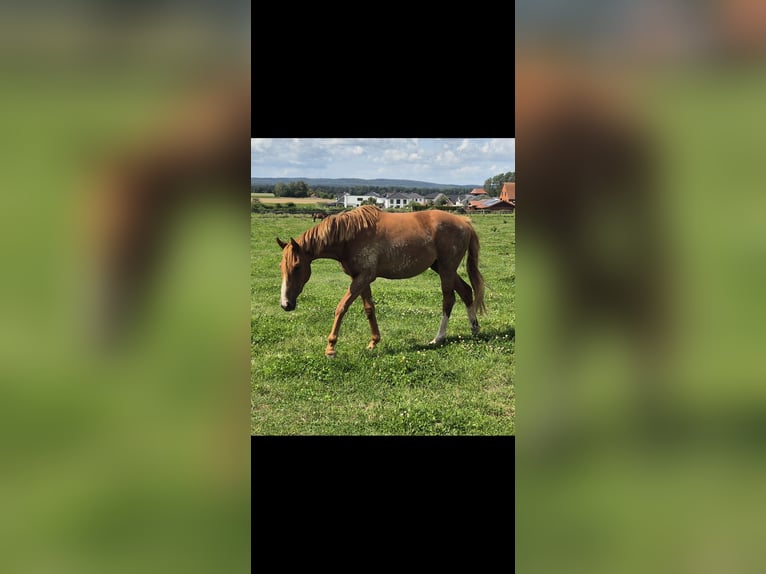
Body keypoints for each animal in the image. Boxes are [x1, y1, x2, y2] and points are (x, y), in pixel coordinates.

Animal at [280, 205, 488, 358]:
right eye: (281, 267)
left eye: (297, 266)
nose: (285, 304)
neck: (350, 236)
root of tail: (464, 222)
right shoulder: (360, 278)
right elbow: (369, 309)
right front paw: (373, 342)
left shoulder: (363, 277)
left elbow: (341, 307)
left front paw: (331, 348)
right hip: (442, 268)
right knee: (466, 291)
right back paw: (474, 329)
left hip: (446, 269)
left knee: (448, 300)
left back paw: (438, 338)